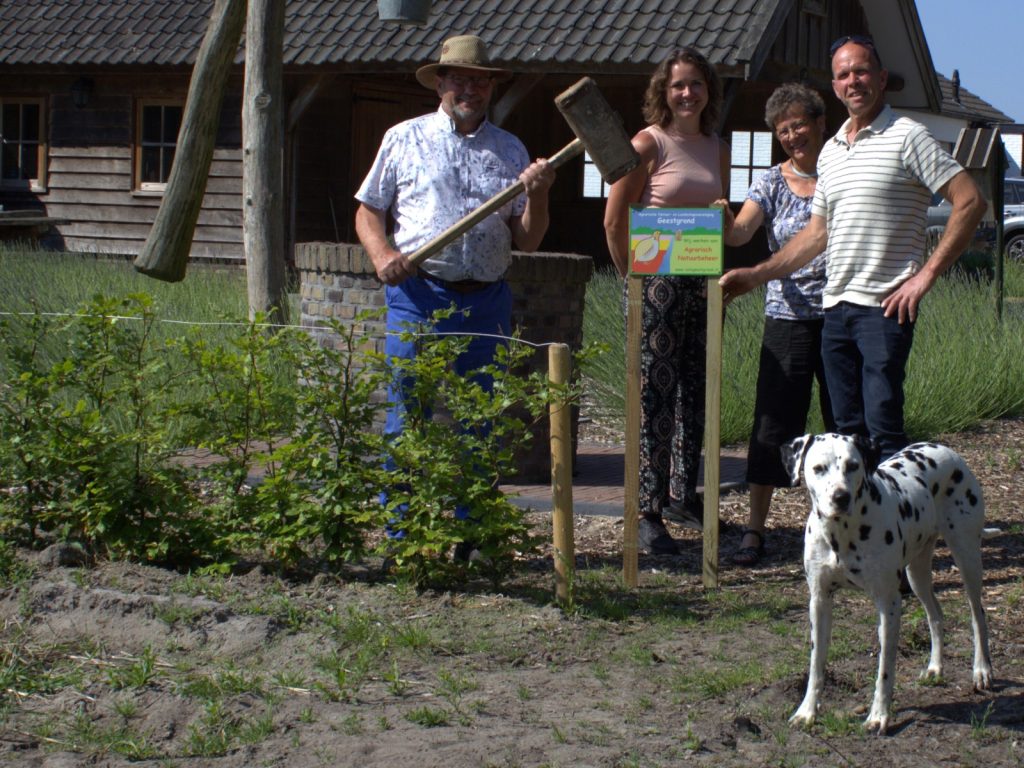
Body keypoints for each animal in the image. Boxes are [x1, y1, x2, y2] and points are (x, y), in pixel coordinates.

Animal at [778, 436, 987, 737]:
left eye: (853, 465)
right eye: (818, 468)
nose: (841, 497)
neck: (842, 534)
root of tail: (945, 449)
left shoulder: (888, 605)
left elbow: (885, 668)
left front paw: (879, 715)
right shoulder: (819, 601)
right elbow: (816, 663)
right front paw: (807, 712)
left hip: (967, 557)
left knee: (978, 615)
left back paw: (982, 670)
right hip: (917, 573)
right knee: (936, 615)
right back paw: (935, 667)